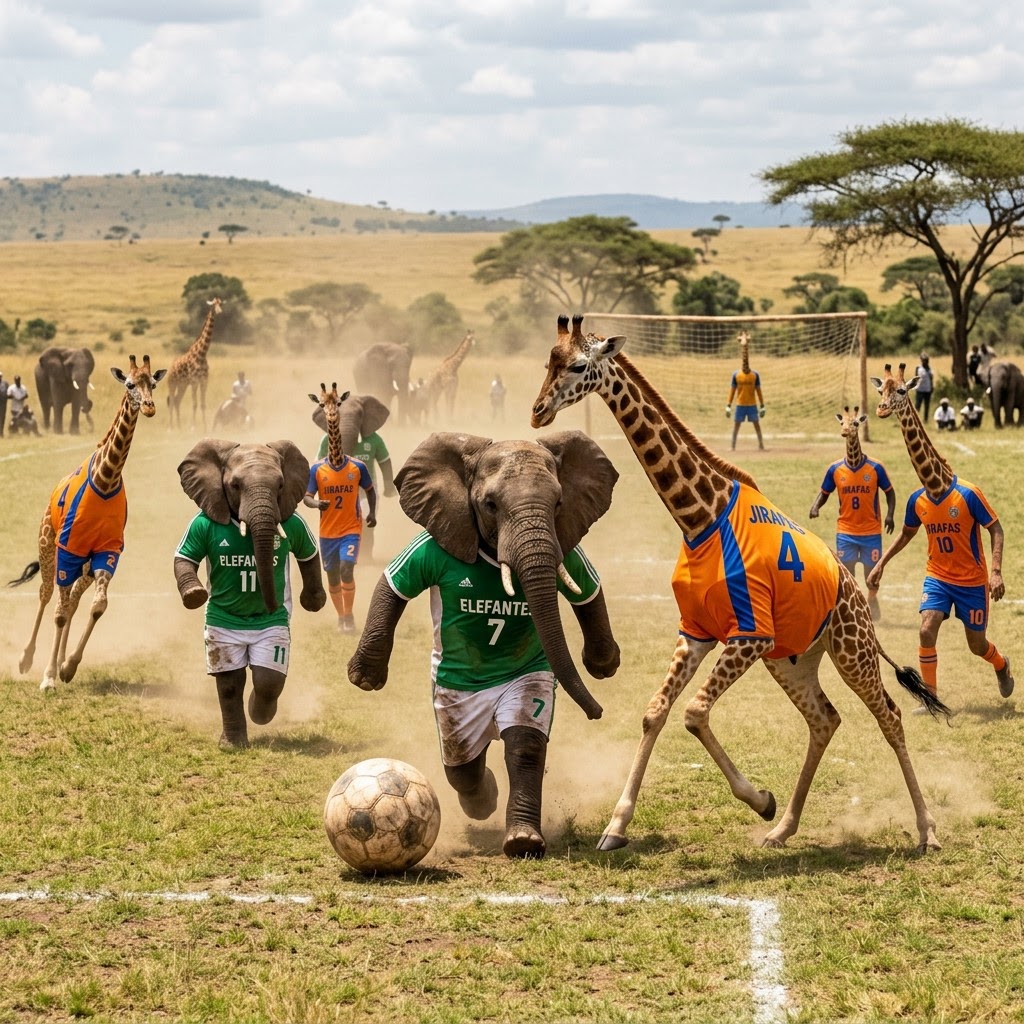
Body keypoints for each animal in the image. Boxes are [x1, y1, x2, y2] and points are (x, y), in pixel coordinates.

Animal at [347, 430, 620, 857]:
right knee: (461, 766)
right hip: (454, 717)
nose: (597, 713)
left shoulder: (563, 544)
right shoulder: (433, 543)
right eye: (491, 505)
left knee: (503, 750)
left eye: (558, 503)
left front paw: (524, 841)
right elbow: (391, 589)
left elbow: (526, 745)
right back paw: (483, 796)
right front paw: (365, 675)